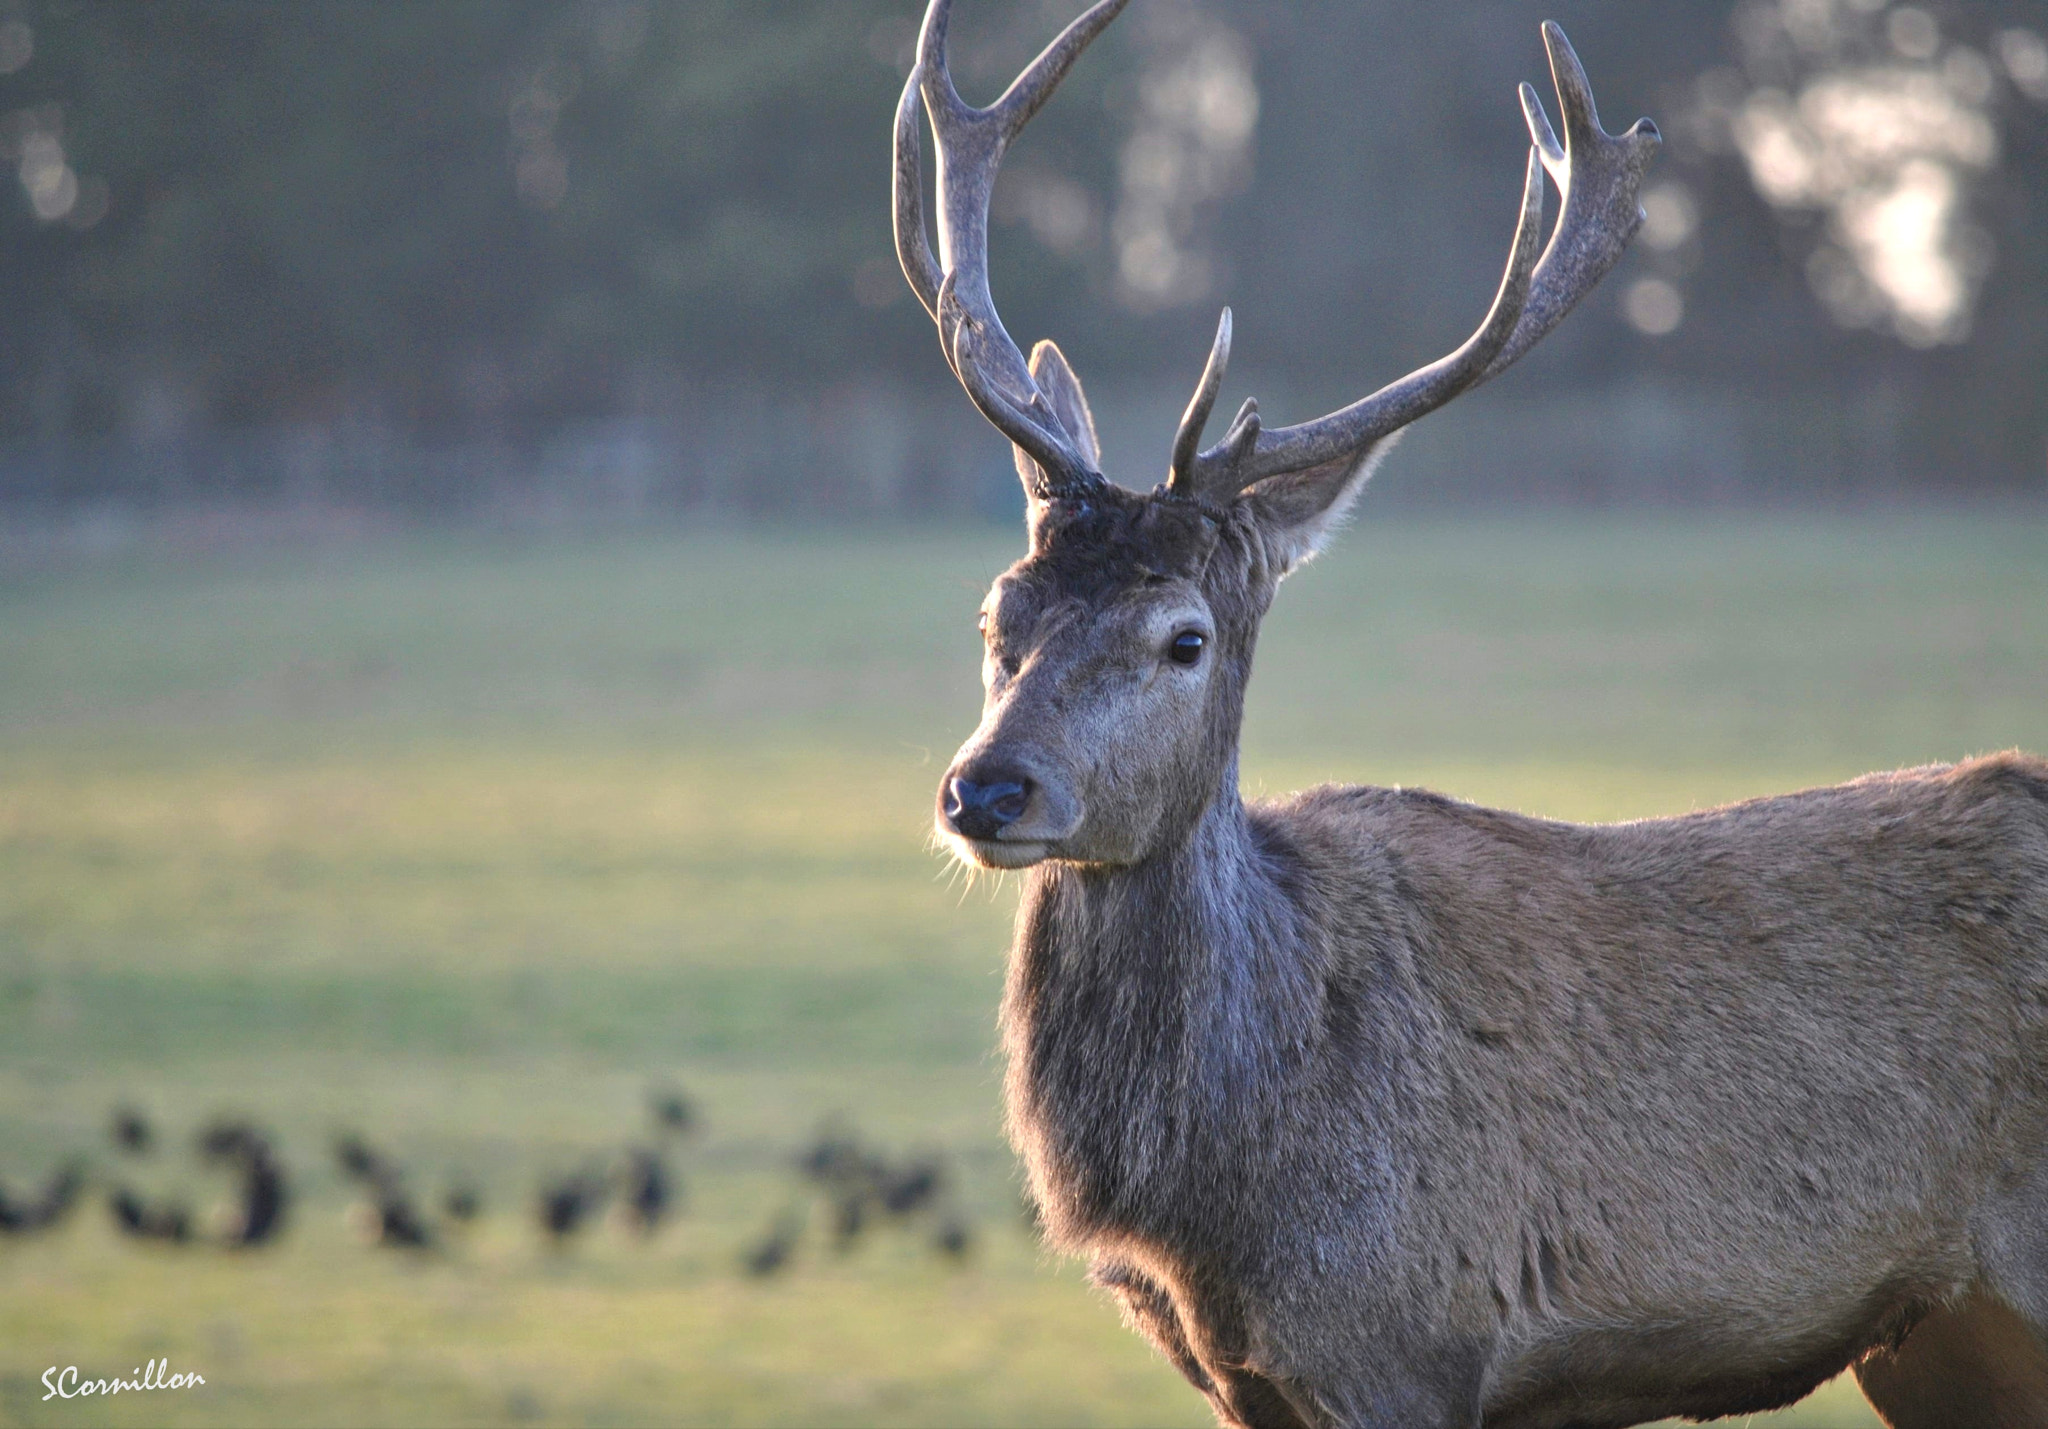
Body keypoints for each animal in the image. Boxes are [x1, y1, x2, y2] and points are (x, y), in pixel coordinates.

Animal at [893, 2, 2048, 1427]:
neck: (1219, 1207)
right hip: (1938, 1338)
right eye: (995, 613)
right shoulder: (1246, 1381)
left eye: (1184, 637)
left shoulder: (1404, 1339)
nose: (987, 789)